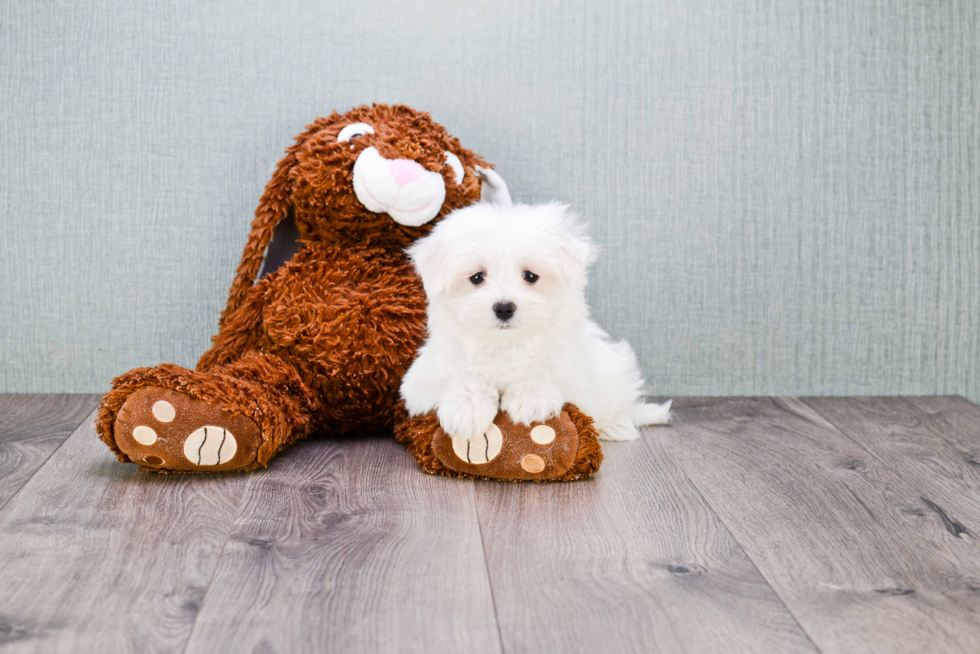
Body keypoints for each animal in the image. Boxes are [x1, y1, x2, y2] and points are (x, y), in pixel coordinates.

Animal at [402, 202, 668, 454]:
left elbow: (542, 371)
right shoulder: (425, 378)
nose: (504, 308)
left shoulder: (568, 363)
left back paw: (617, 426)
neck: (505, 343)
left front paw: (530, 399)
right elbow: (462, 376)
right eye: (477, 277)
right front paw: (467, 409)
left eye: (530, 276)